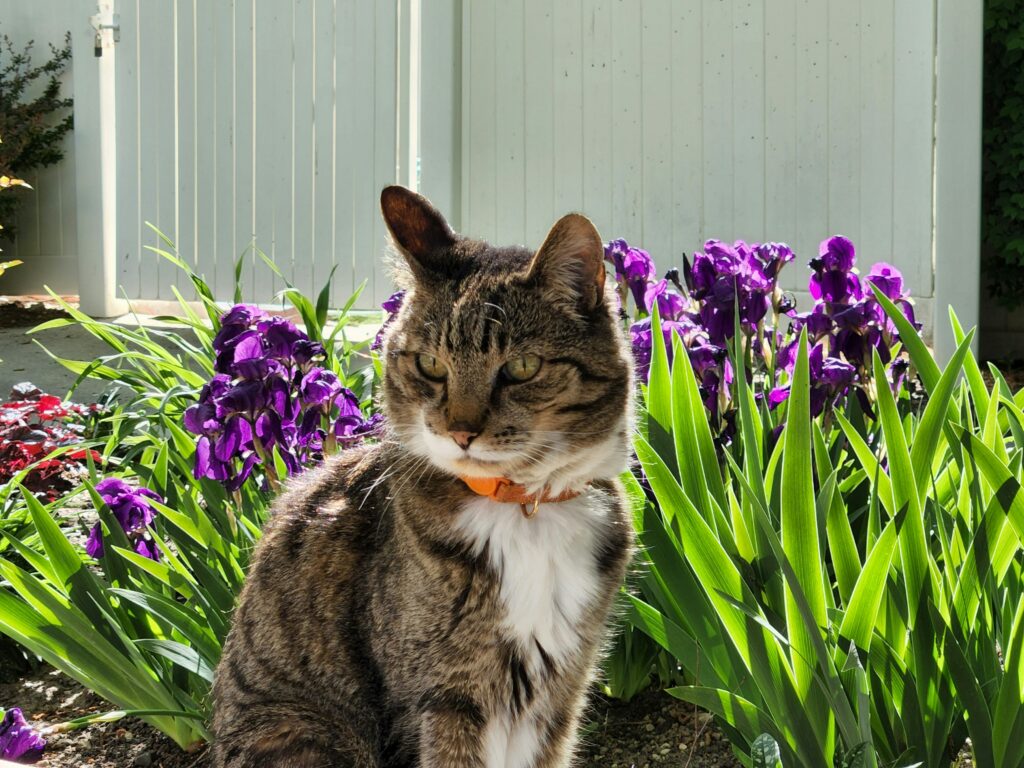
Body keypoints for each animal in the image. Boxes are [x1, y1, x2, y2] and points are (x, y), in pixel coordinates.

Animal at [210, 186, 630, 768]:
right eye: (431, 365)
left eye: (521, 368)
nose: (460, 431)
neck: (520, 509)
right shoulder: (441, 699)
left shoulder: (565, 690)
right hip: (302, 732)